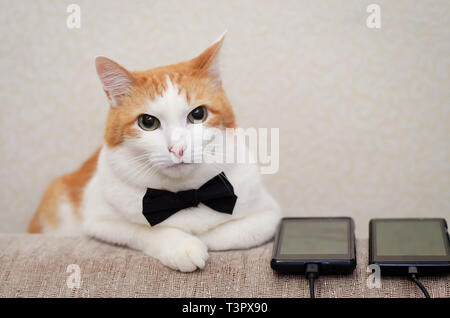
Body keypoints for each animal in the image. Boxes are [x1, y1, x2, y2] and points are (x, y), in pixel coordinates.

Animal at [28, 34, 280, 274]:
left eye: (198, 114)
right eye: (147, 122)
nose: (178, 148)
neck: (185, 195)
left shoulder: (268, 215)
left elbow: (228, 233)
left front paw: (201, 236)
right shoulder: (100, 221)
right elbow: (145, 231)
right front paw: (183, 245)